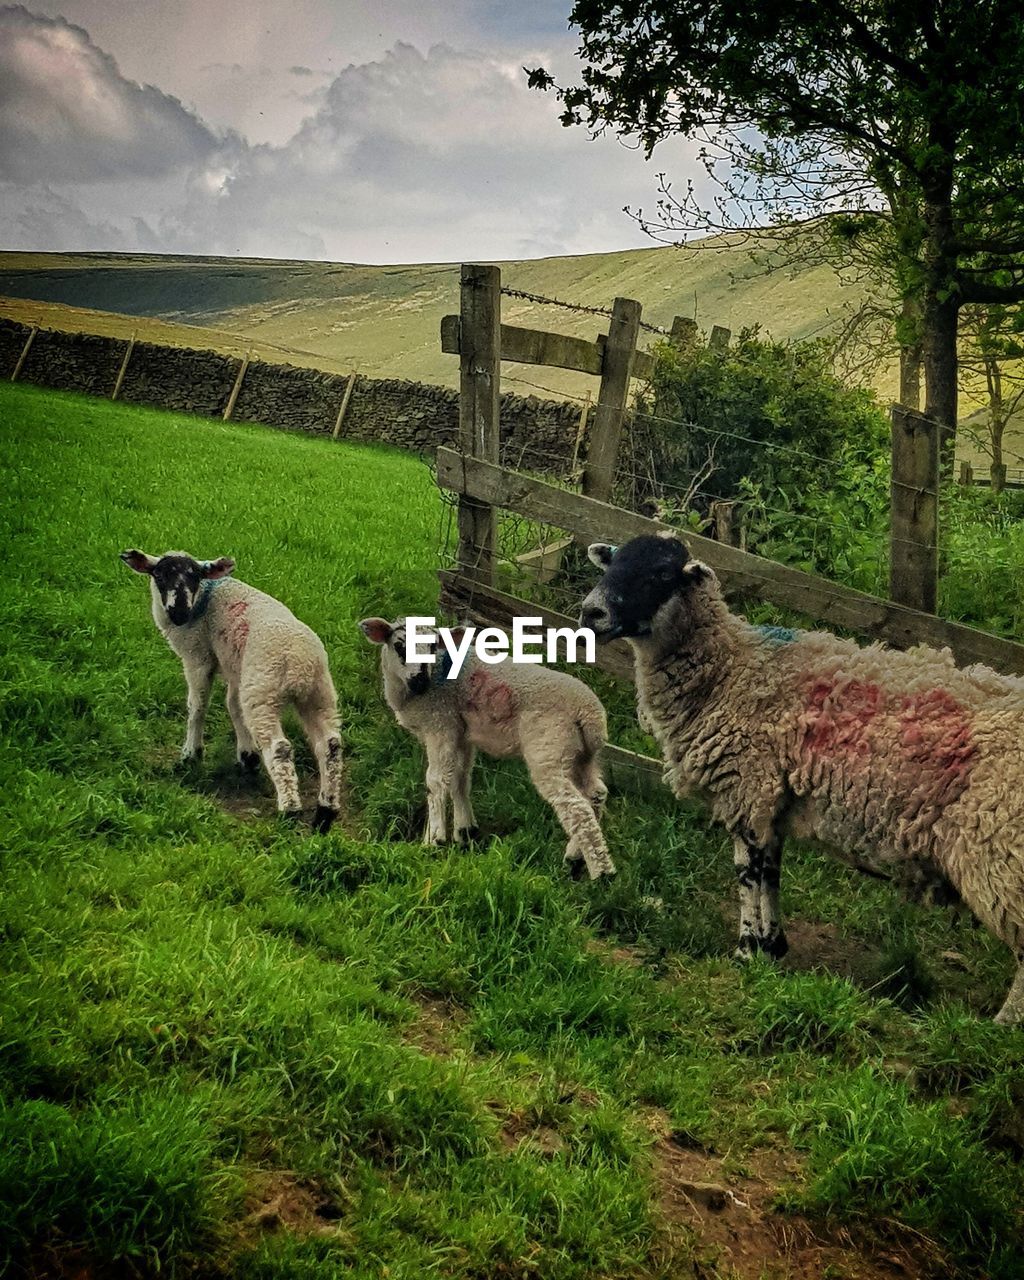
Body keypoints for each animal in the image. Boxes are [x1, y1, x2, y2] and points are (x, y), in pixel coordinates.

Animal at [120, 547, 343, 829]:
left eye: (195, 577)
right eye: (159, 575)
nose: (179, 612)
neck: (204, 599)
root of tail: (300, 662)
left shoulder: (198, 656)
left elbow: (197, 706)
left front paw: (191, 754)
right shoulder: (236, 667)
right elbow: (233, 706)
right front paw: (247, 756)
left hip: (263, 690)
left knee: (280, 748)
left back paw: (290, 809)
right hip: (319, 693)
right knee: (330, 745)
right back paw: (326, 811)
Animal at [360, 616, 616, 880]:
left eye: (432, 646)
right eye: (399, 645)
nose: (420, 681)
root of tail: (590, 713)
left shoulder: (440, 724)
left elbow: (436, 782)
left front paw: (433, 840)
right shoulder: (461, 732)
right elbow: (460, 779)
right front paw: (464, 832)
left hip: (549, 747)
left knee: (576, 807)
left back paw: (602, 872)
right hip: (581, 754)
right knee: (595, 795)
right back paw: (576, 858)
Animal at [581, 535, 1024, 1024]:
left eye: (660, 573)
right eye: (612, 562)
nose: (590, 613)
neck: (731, 669)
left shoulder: (748, 786)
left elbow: (748, 875)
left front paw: (746, 951)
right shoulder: (772, 799)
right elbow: (771, 874)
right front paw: (773, 946)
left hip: (1001, 854)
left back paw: (1002, 1026)